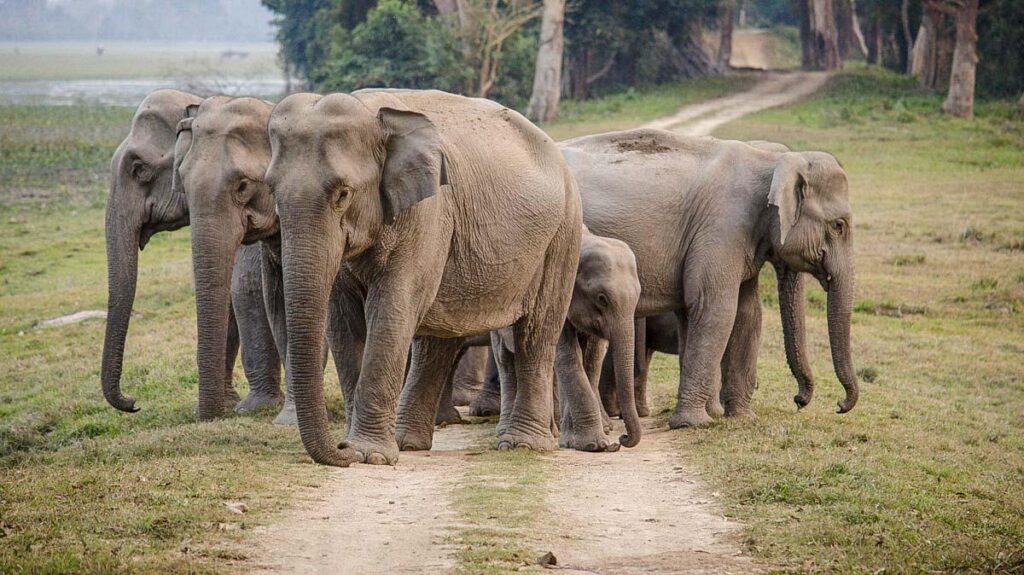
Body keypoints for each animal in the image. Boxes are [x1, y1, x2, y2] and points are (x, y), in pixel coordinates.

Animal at [265, 89, 582, 467]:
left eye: (343, 193)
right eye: (272, 192)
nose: (340, 449)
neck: (373, 115)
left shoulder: (428, 212)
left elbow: (392, 308)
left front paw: (368, 455)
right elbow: (341, 322)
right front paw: (360, 449)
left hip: (562, 234)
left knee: (536, 332)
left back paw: (524, 445)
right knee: (437, 341)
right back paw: (408, 442)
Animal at [489, 228, 643, 452]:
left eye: (638, 296)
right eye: (601, 298)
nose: (621, 439)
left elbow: (592, 359)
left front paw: (575, 442)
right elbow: (568, 356)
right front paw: (594, 445)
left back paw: (554, 432)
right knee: (506, 363)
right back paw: (509, 432)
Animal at [560, 129, 859, 428]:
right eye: (839, 225)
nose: (800, 401)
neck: (771, 160)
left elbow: (747, 313)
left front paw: (740, 418)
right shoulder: (722, 227)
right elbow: (715, 307)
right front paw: (694, 423)